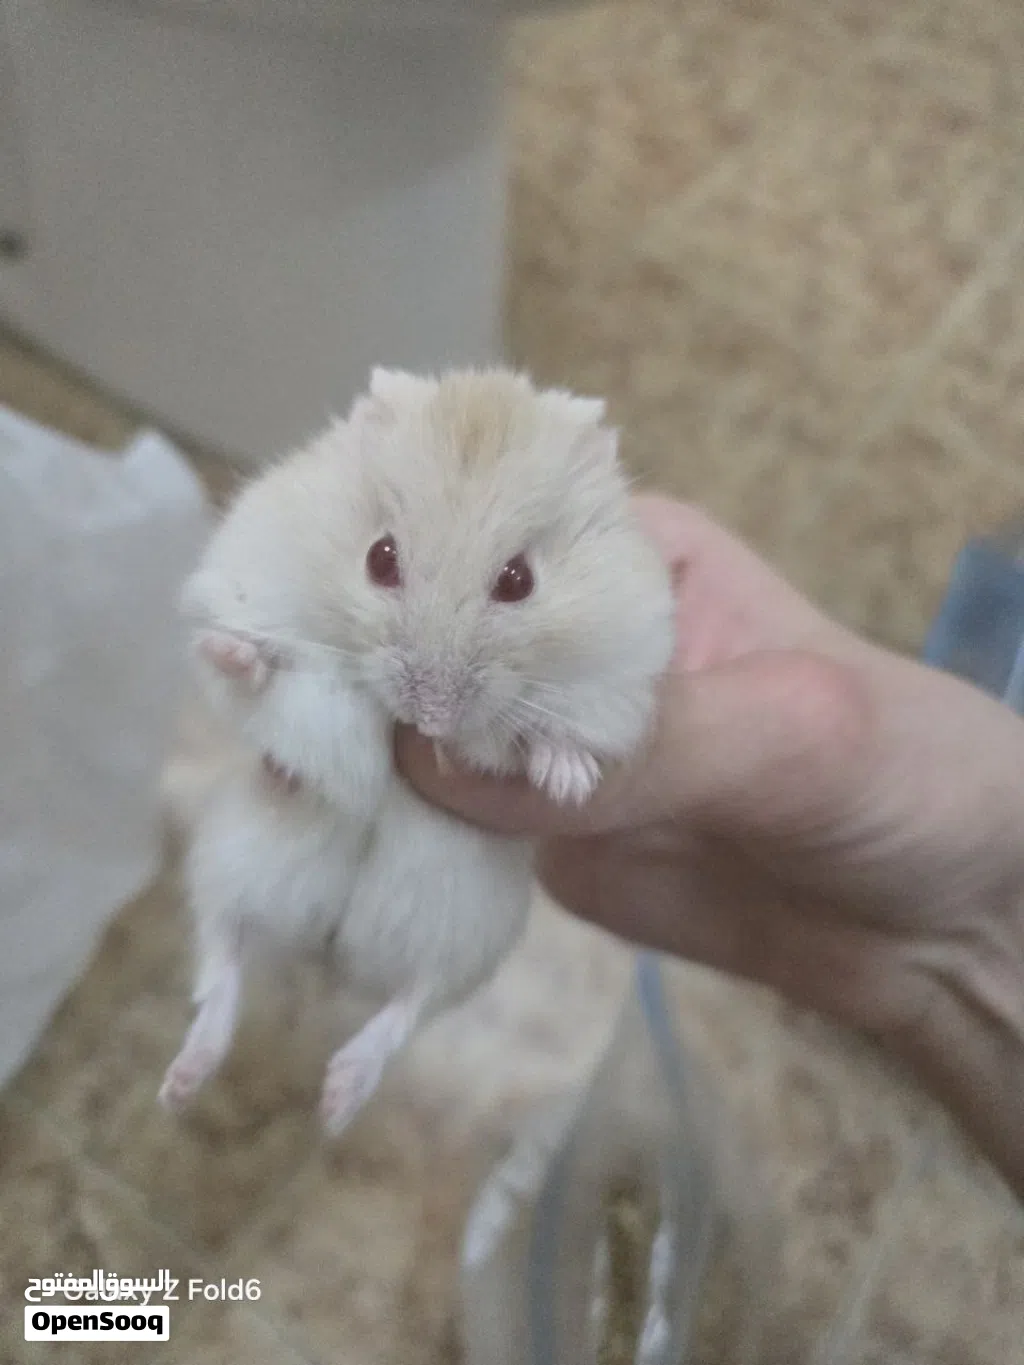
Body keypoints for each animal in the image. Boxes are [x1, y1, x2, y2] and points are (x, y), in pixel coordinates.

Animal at [158, 367, 675, 1138]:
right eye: (381, 558)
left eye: (519, 580)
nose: (428, 716)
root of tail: (330, 960)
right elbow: (259, 677)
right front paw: (234, 651)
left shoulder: (617, 677)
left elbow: (564, 730)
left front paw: (566, 781)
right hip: (231, 858)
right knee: (224, 960)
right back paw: (186, 1085)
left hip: (466, 935)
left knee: (407, 1007)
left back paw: (336, 1103)